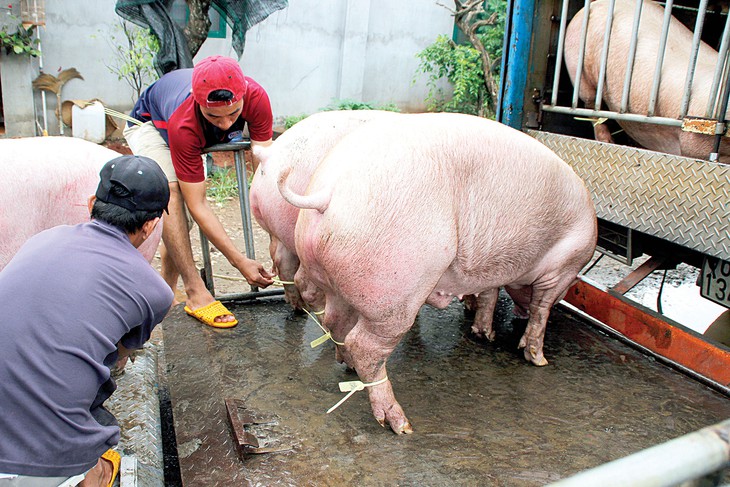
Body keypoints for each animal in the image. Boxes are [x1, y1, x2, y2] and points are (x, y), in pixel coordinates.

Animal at [278, 114, 592, 434]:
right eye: (568, 289)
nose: (519, 312)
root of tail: (329, 192)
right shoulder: (563, 267)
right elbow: (542, 309)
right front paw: (538, 359)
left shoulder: (492, 268)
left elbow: (489, 294)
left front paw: (485, 334)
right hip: (396, 290)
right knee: (365, 346)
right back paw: (401, 425)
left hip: (336, 279)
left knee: (336, 323)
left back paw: (347, 364)